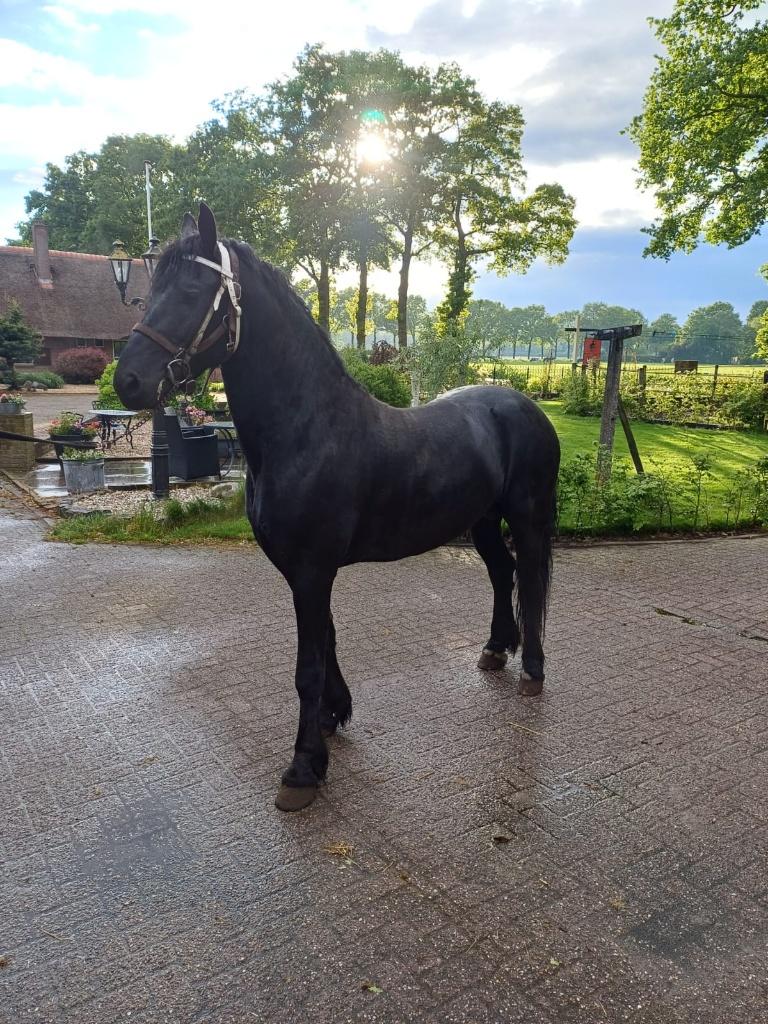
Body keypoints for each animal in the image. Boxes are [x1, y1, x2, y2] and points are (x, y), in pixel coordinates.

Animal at [114, 204, 561, 812]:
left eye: (191, 288)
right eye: (147, 292)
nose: (128, 380)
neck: (305, 430)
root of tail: (525, 406)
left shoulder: (311, 570)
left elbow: (307, 664)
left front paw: (303, 768)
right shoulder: (304, 571)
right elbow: (326, 641)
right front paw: (333, 716)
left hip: (528, 517)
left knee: (531, 581)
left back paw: (532, 669)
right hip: (483, 521)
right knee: (502, 573)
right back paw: (495, 649)